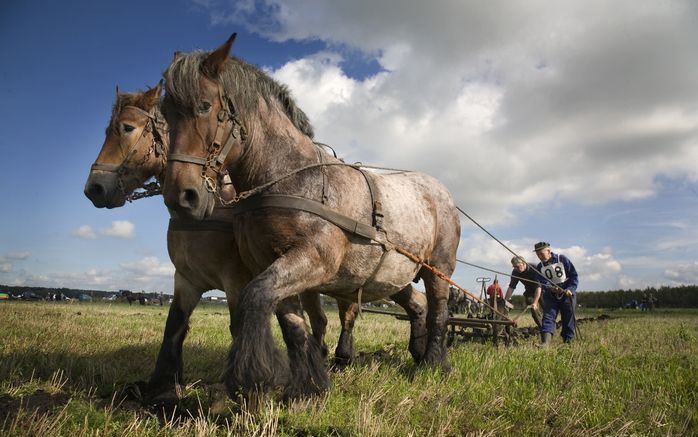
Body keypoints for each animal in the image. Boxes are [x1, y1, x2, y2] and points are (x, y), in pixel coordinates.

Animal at [160, 35, 460, 398]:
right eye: (165, 113)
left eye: (204, 106)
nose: (181, 196)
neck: (292, 179)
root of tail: (441, 191)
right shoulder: (271, 262)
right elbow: (292, 325)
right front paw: (306, 387)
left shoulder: (314, 258)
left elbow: (255, 297)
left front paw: (254, 376)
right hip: (392, 275)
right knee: (418, 304)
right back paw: (417, 352)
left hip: (439, 267)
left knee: (439, 310)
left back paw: (434, 364)